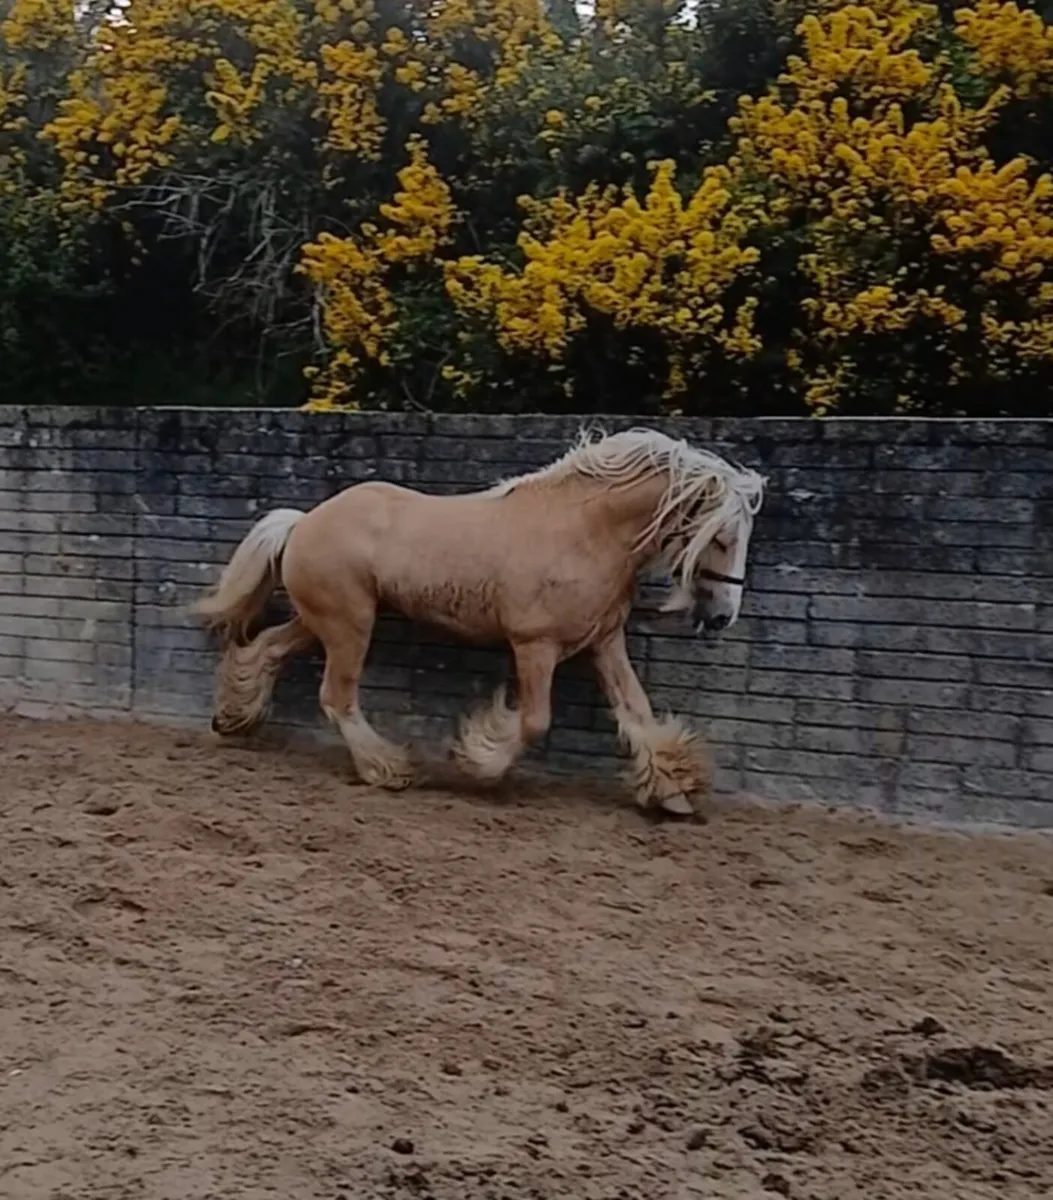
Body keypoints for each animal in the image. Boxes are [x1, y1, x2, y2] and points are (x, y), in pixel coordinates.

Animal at [190, 426, 766, 819]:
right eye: (721, 537)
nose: (722, 616)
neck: (583, 531)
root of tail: (304, 520)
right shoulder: (535, 645)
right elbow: (534, 721)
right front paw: (476, 761)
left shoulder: (603, 642)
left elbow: (638, 713)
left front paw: (673, 793)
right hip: (348, 625)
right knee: (337, 696)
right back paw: (388, 770)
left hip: (323, 622)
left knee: (264, 649)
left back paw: (233, 719)